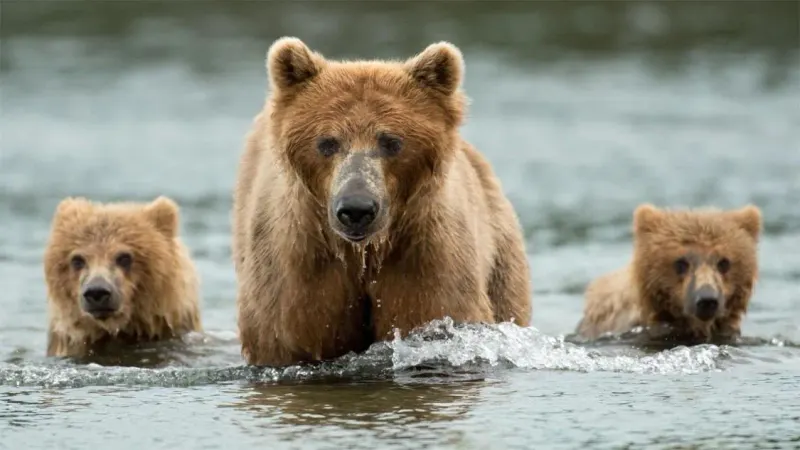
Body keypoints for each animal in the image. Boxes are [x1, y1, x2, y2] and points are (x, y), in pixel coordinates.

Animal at [232, 37, 532, 367]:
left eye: (391, 141)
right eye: (327, 142)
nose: (356, 209)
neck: (364, 253)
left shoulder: (423, 255)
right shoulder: (299, 271)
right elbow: (289, 335)